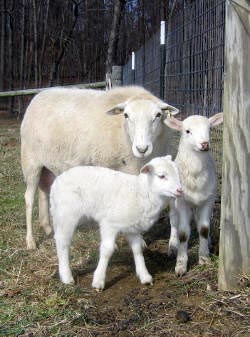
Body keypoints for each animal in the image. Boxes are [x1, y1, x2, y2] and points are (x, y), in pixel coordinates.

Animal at [49, 155, 183, 288]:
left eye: (177, 173)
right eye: (161, 176)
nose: (180, 190)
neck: (141, 192)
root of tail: (57, 181)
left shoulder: (132, 228)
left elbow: (137, 250)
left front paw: (144, 276)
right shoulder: (109, 224)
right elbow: (107, 250)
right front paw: (98, 280)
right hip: (67, 214)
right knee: (62, 242)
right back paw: (66, 277)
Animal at [165, 113, 224, 276]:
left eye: (209, 128)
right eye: (187, 131)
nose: (204, 144)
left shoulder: (209, 199)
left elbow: (203, 229)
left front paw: (204, 258)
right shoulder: (182, 202)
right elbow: (183, 233)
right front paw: (180, 265)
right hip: (173, 201)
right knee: (173, 221)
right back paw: (172, 246)